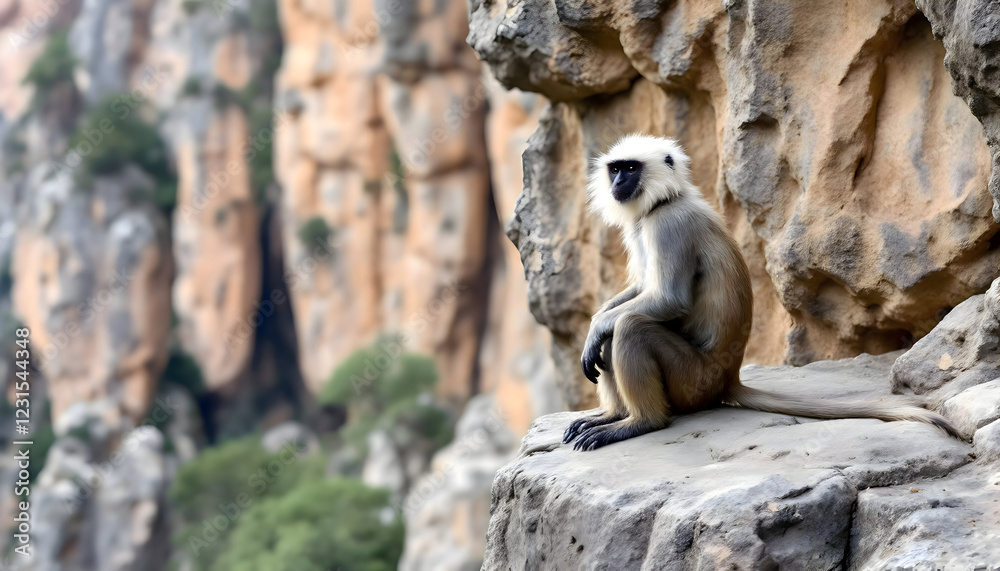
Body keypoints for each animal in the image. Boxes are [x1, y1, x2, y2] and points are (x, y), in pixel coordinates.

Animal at [562, 134, 959, 451]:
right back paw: (611, 415)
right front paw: (593, 329)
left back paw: (641, 421)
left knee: (629, 326)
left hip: (693, 382)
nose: (617, 182)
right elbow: (640, 291)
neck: (667, 199)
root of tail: (729, 380)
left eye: (631, 168)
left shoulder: (668, 223)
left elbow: (666, 299)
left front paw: (595, 330)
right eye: (615, 169)